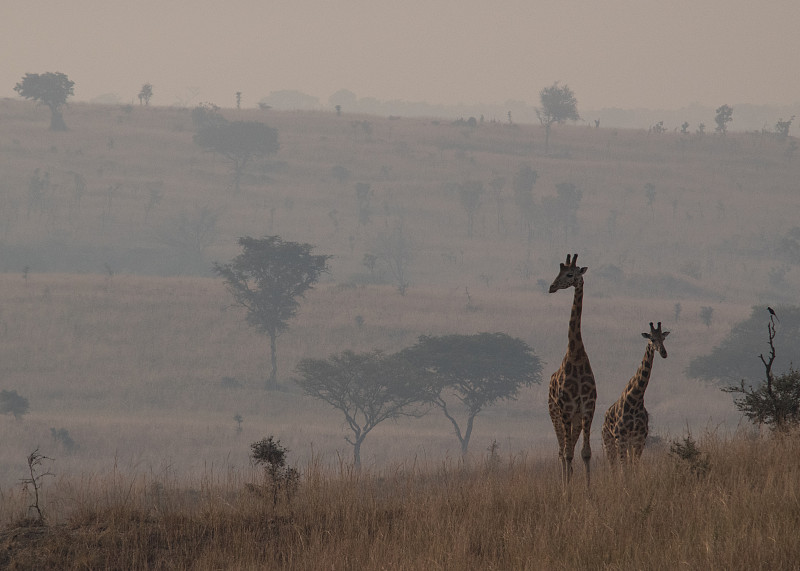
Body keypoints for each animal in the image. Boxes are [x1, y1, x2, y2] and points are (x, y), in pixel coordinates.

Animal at [604, 322, 672, 464]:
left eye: (663, 338)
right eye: (652, 339)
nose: (664, 353)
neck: (636, 399)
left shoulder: (640, 438)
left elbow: (634, 465)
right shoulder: (621, 438)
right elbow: (624, 468)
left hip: (628, 443)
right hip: (609, 441)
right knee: (612, 465)